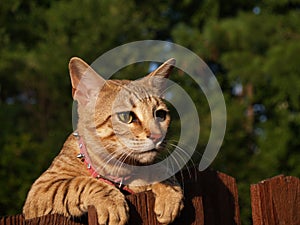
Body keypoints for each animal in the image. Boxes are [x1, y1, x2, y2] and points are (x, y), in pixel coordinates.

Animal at [22, 57, 183, 224]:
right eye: (126, 116)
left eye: (160, 115)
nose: (157, 136)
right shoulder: (41, 189)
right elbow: (78, 183)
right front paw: (111, 201)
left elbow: (160, 170)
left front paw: (170, 191)